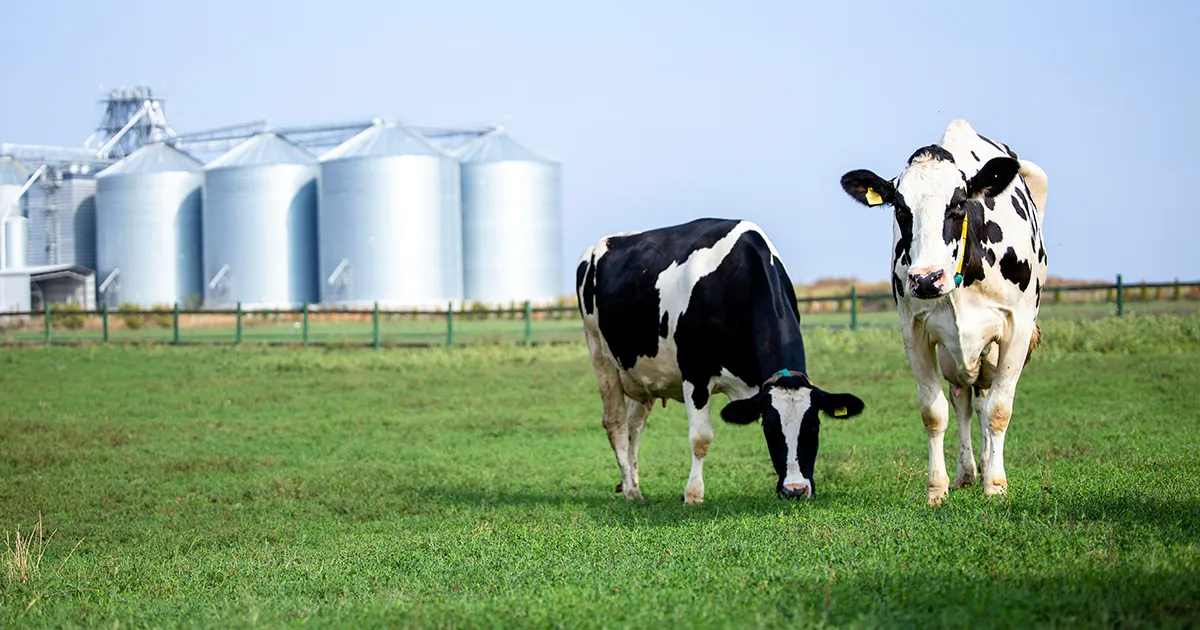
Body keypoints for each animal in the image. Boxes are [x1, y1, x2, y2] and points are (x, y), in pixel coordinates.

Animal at [575, 218, 865, 504]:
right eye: (769, 427)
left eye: (814, 426)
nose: (795, 489)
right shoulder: (695, 374)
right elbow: (701, 438)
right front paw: (693, 494)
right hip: (600, 355)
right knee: (616, 425)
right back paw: (630, 490)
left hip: (642, 374)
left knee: (634, 427)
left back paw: (633, 483)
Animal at [839, 120, 1048, 505]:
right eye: (900, 208)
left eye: (960, 203)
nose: (925, 279)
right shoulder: (914, 331)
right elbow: (934, 412)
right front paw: (937, 488)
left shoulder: (1017, 327)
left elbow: (999, 409)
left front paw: (996, 485)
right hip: (955, 356)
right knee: (964, 401)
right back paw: (967, 471)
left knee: (984, 401)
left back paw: (986, 466)